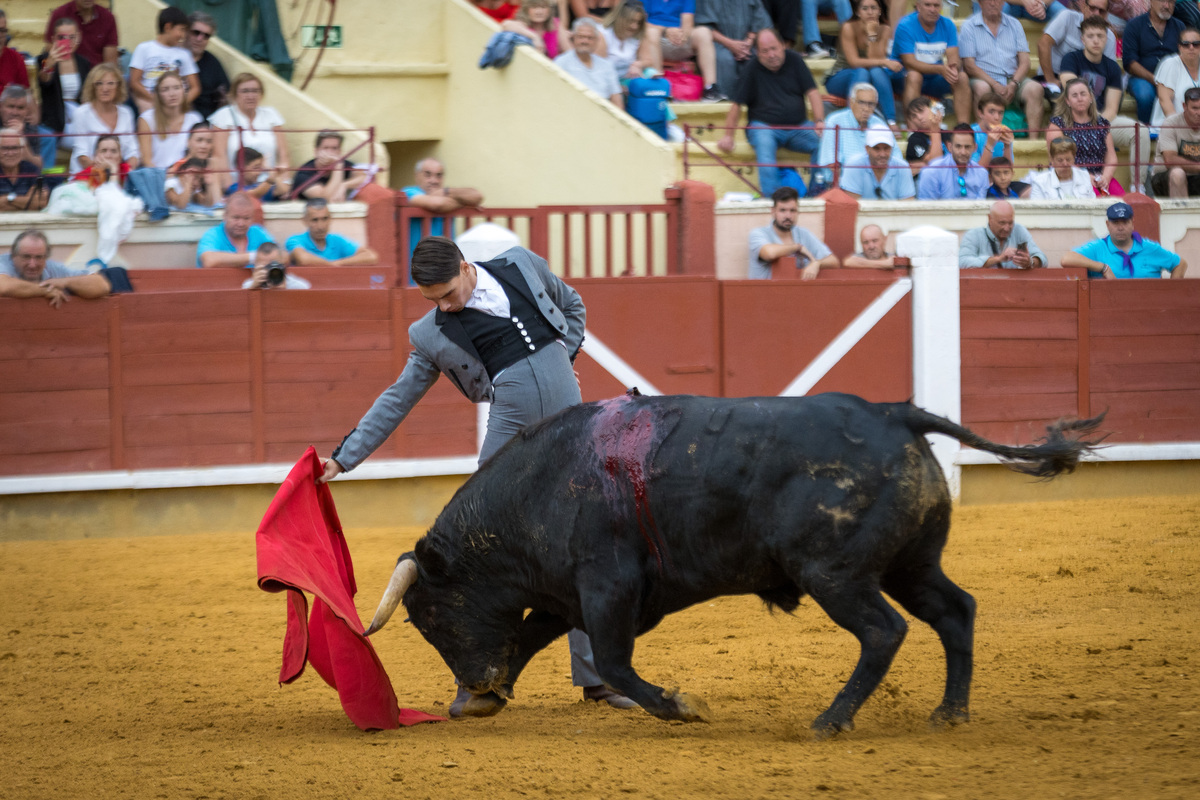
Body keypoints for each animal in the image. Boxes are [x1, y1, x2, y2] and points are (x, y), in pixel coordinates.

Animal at [364, 393, 1104, 738]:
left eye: (432, 616)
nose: (472, 683)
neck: (539, 484)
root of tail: (895, 414)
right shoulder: (565, 595)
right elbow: (526, 637)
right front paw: (488, 699)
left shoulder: (609, 588)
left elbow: (614, 662)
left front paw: (680, 706)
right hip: (910, 565)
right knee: (955, 612)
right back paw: (949, 713)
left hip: (834, 573)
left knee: (884, 631)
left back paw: (832, 720)